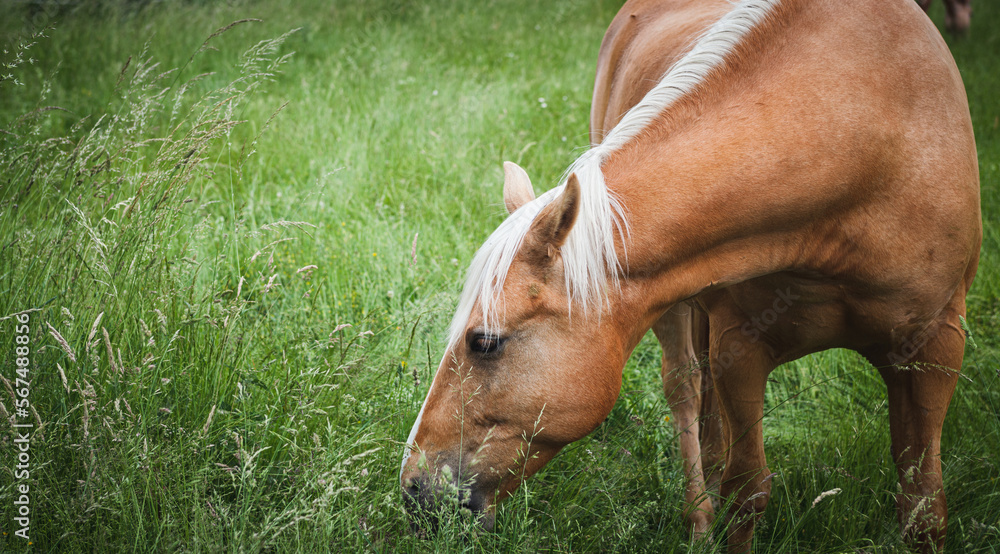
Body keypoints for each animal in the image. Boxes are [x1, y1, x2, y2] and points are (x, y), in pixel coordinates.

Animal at [400, 0, 981, 551]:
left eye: (484, 341)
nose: (413, 488)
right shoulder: (741, 348)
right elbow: (748, 490)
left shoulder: (936, 346)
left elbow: (923, 505)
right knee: (686, 392)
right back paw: (699, 521)